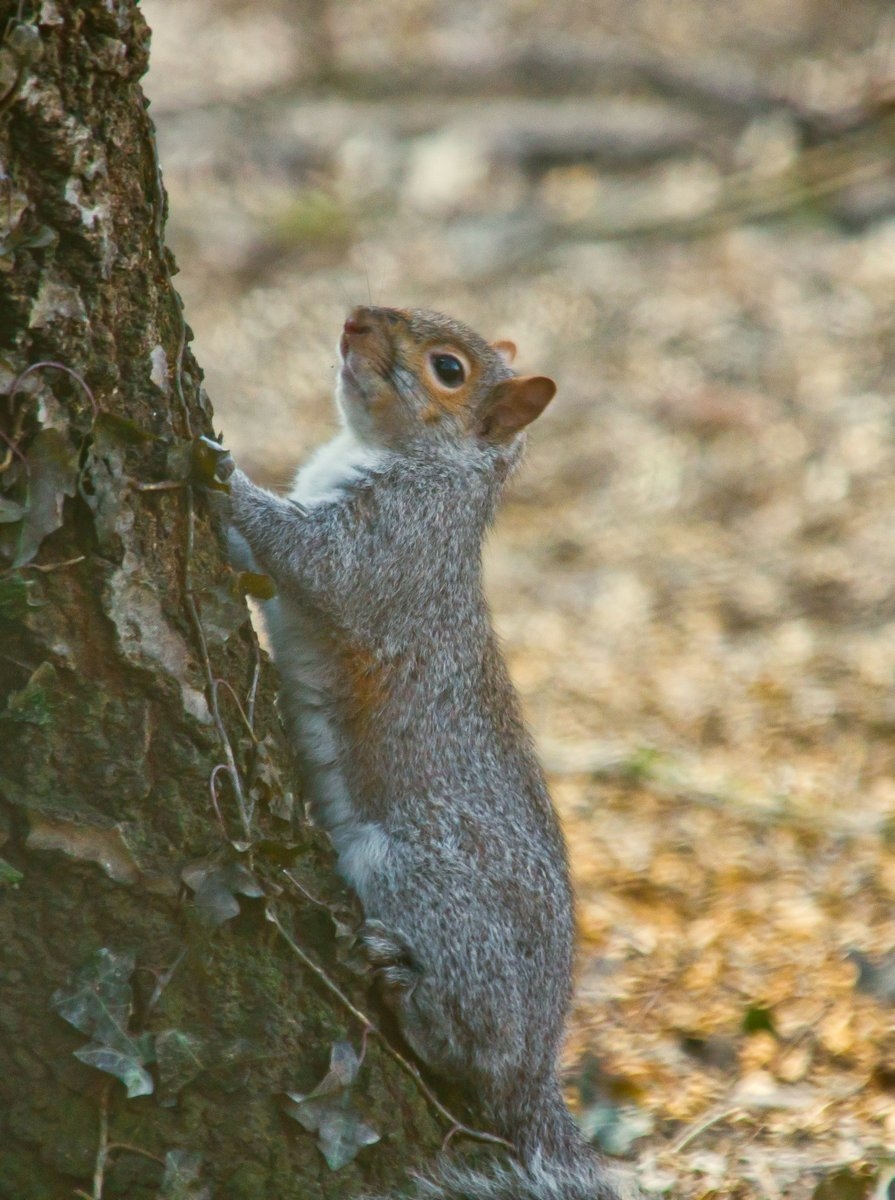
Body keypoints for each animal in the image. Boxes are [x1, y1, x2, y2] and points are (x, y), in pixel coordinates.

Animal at [212, 307, 638, 1200]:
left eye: (447, 368)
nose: (353, 318)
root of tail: (538, 1073)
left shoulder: (393, 546)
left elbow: (317, 566)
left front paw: (221, 469)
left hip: (423, 872)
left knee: (473, 1046)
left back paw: (408, 991)